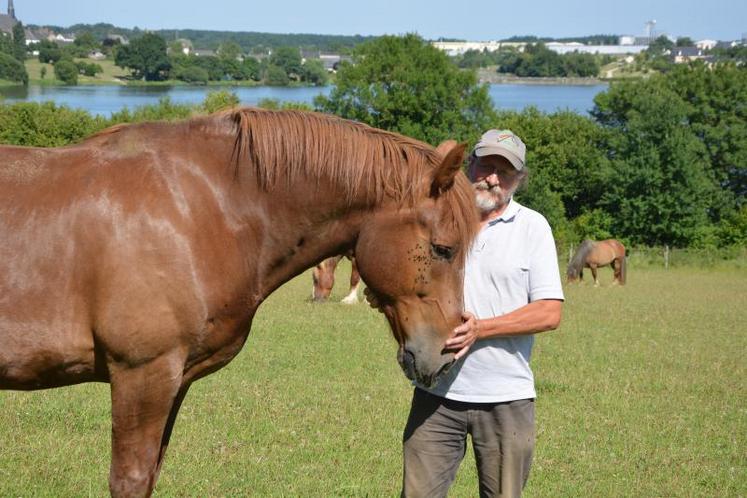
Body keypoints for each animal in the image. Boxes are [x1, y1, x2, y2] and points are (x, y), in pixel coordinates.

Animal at [0, 110, 480, 498]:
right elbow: (130, 480)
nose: (446, 352)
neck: (197, 211)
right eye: (443, 249)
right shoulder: (142, 375)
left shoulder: (172, 382)